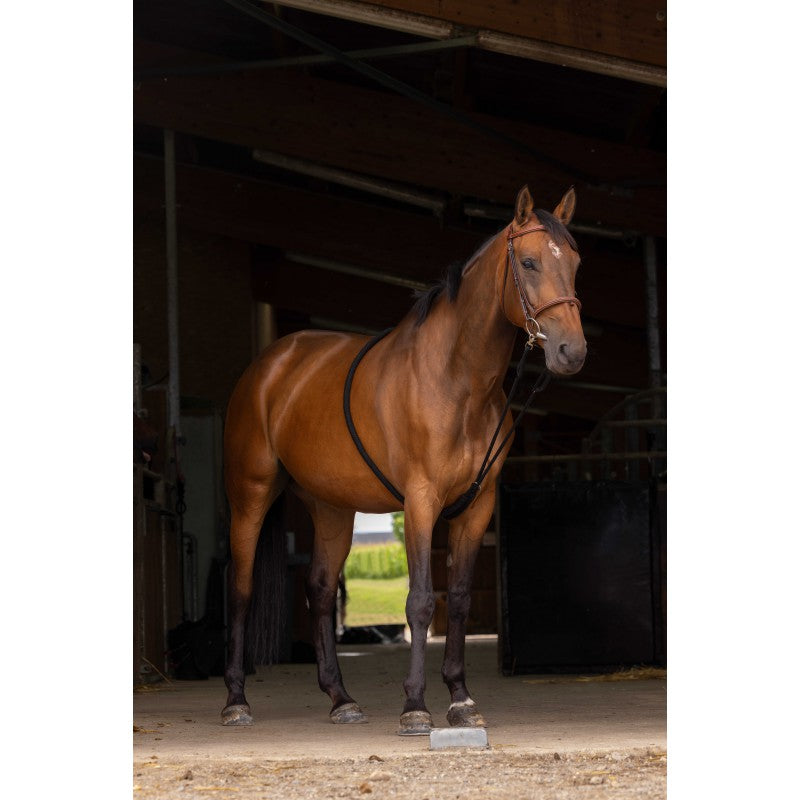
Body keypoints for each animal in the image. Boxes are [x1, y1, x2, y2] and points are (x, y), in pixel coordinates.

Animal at [221, 185, 587, 734]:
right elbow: (420, 601)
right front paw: (415, 706)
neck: (456, 380)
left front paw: (461, 699)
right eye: (528, 262)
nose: (572, 351)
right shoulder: (420, 501)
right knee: (241, 591)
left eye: (576, 263)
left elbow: (458, 599)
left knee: (320, 591)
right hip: (251, 495)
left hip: (332, 509)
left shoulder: (477, 507)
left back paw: (341, 700)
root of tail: (268, 365)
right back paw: (236, 700)